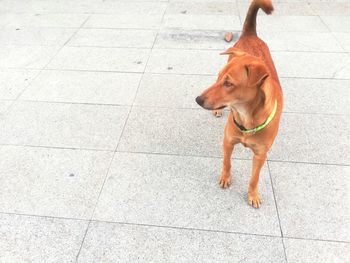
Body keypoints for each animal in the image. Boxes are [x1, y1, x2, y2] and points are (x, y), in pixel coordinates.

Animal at [196, 0, 284, 209]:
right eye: (218, 77)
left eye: (228, 83)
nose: (198, 99)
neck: (247, 117)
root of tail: (250, 34)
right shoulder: (228, 141)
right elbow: (226, 162)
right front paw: (225, 178)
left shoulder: (260, 155)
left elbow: (254, 178)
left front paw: (253, 194)